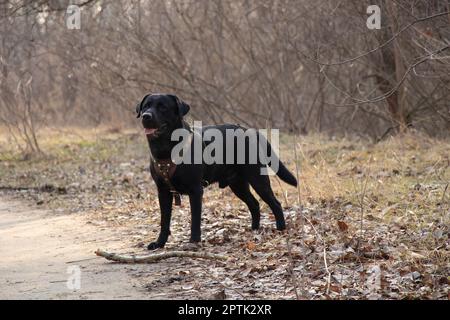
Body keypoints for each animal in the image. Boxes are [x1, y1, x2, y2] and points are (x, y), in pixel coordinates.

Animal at [135, 93, 298, 250]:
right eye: (145, 106)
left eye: (163, 107)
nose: (146, 116)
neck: (165, 150)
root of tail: (250, 131)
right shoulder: (163, 192)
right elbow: (164, 221)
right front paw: (159, 243)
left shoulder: (196, 190)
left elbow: (195, 219)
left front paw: (194, 242)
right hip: (238, 185)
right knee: (254, 204)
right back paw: (254, 230)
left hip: (257, 179)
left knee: (275, 203)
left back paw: (280, 229)